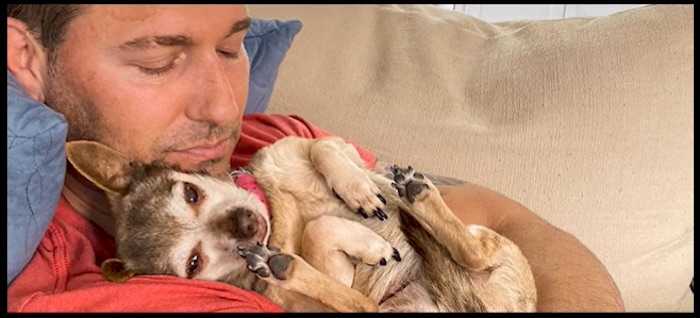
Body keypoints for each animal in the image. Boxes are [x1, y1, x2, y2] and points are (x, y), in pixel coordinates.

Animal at [65, 135, 536, 312]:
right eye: (193, 263)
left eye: (191, 193)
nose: (246, 226)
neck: (278, 212)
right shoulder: (339, 277)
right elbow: (319, 232)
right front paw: (371, 245)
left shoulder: (322, 147)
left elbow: (323, 147)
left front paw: (358, 191)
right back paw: (283, 266)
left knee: (471, 252)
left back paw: (414, 194)